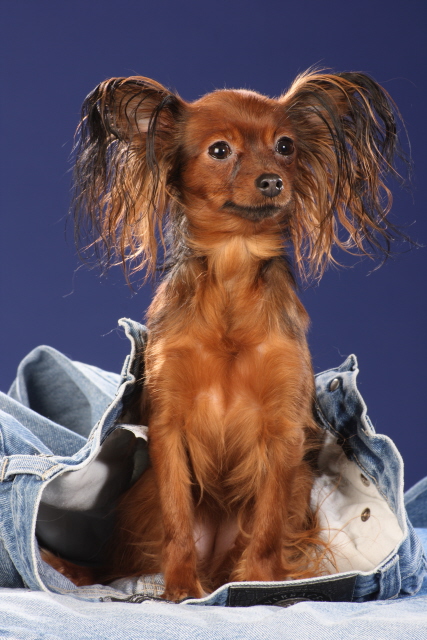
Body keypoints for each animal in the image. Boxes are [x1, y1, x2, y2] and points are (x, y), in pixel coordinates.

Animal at [44, 70, 405, 601]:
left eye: (285, 146)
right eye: (220, 150)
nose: (273, 180)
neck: (233, 268)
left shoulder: (281, 435)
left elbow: (268, 524)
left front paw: (258, 583)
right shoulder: (169, 428)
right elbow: (177, 520)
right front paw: (179, 589)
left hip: (296, 490)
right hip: (142, 502)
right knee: (122, 560)